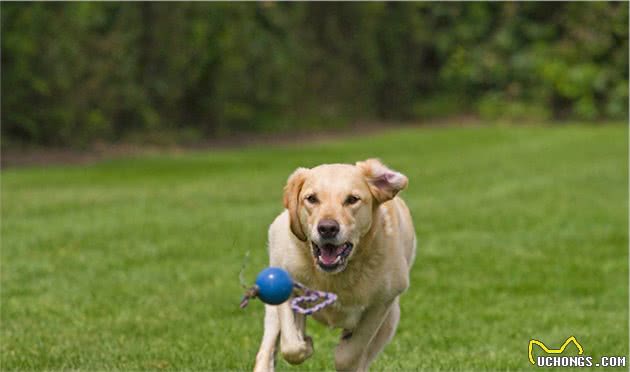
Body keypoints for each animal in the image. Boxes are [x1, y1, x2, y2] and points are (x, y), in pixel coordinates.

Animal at [254, 158, 418, 370]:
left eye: (352, 199)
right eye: (311, 198)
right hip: (271, 308)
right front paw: (305, 343)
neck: (334, 276)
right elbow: (291, 346)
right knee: (267, 349)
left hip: (390, 320)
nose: (327, 228)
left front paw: (342, 350)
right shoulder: (283, 284)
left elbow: (350, 354)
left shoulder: (381, 304)